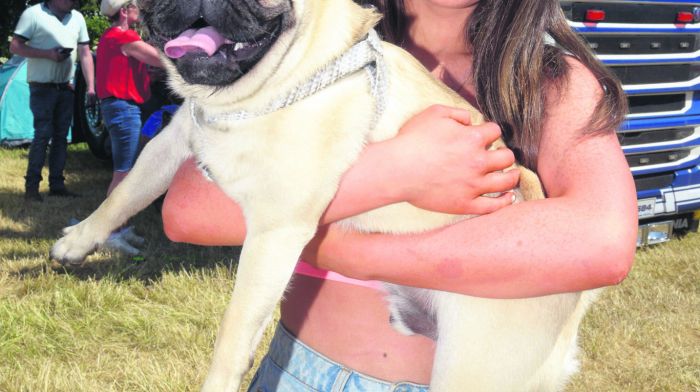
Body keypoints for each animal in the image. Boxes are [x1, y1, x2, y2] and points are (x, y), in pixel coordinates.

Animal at [50, 0, 596, 390]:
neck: (256, 95)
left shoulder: (274, 231)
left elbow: (233, 329)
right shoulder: (176, 139)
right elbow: (129, 190)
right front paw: (79, 239)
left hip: (477, 368)